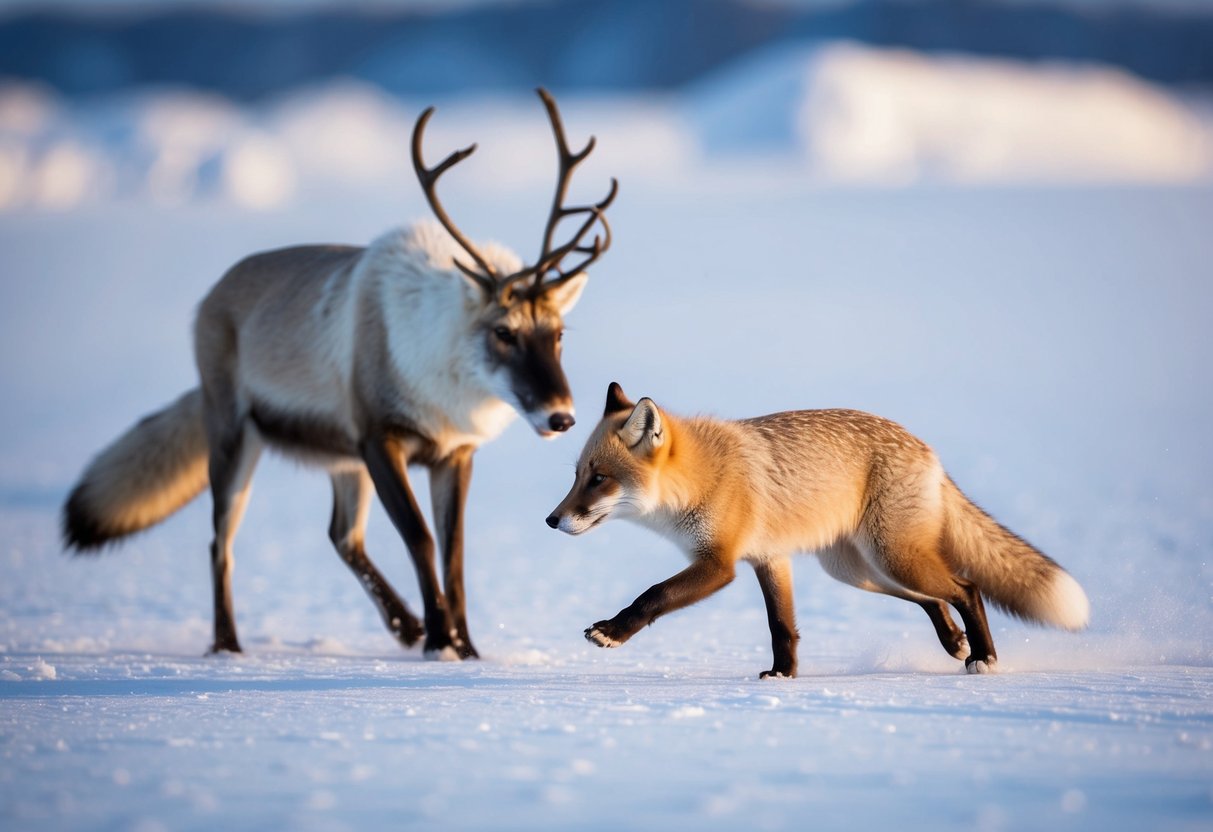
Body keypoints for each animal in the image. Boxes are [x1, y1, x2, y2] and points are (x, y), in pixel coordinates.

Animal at [62, 88, 617, 660]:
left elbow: (454, 553)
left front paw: (465, 650)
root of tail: (210, 298)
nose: (561, 417)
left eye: (558, 333)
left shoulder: (453, 453)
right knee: (222, 540)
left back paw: (403, 626)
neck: (439, 383)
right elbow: (420, 538)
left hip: (339, 460)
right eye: (504, 332)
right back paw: (229, 646)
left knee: (341, 535)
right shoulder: (379, 439)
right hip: (236, 435)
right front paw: (440, 641)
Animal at [546, 383, 1090, 677]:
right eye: (576, 476)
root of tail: (926, 447)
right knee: (934, 598)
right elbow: (782, 627)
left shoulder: (719, 564)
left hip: (891, 556)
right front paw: (782, 675)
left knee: (967, 587)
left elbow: (652, 596)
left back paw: (982, 656)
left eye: (599, 479)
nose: (551, 520)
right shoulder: (770, 558)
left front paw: (611, 632)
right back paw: (955, 643)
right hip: (857, 570)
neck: (702, 477)